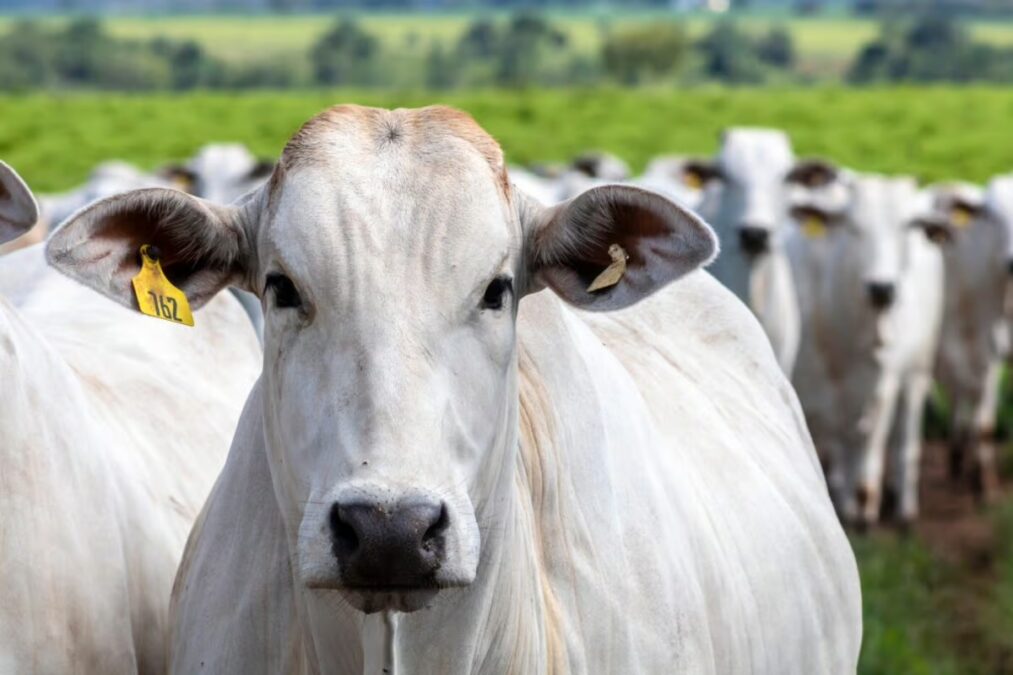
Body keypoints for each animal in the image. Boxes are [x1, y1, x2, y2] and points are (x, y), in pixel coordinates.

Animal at [789, 171, 944, 527]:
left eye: (906, 227)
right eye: (853, 227)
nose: (882, 288)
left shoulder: (881, 385)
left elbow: (868, 444)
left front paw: (863, 509)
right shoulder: (812, 388)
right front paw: (844, 502)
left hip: (917, 369)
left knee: (904, 440)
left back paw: (903, 506)